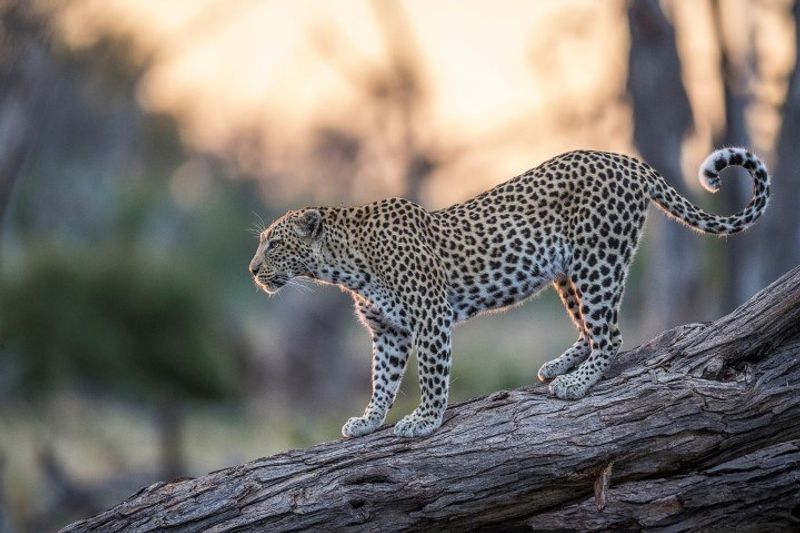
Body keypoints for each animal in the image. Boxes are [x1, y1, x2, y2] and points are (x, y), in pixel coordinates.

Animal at [249, 147, 770, 438]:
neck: (345, 265)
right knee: (588, 328)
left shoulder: (430, 317)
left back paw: (576, 384)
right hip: (567, 273)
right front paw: (369, 420)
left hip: (597, 261)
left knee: (611, 335)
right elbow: (382, 380)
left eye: (273, 243)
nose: (252, 270)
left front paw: (424, 421)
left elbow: (432, 376)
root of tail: (625, 160)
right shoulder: (388, 332)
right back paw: (560, 366)